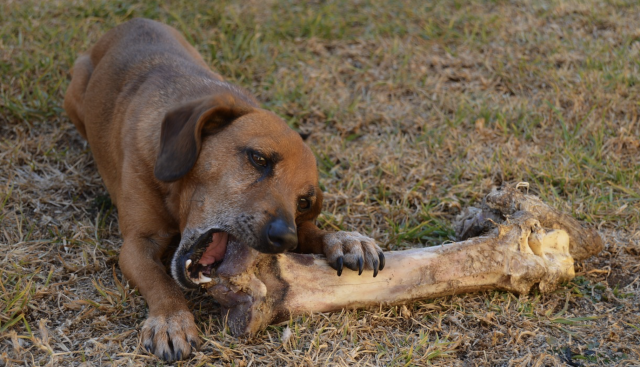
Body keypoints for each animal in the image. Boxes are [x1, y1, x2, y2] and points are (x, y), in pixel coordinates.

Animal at [63, 19, 384, 362]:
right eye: (259, 159)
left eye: (303, 202)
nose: (286, 239)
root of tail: (132, 22)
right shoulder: (136, 244)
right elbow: (160, 281)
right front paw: (171, 320)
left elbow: (313, 231)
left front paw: (345, 239)